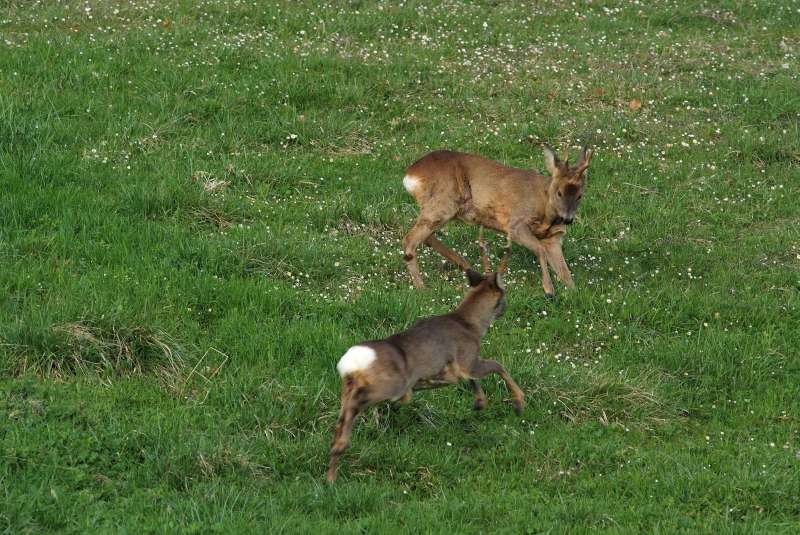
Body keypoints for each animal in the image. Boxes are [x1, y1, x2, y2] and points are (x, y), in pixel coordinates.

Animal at [326, 232, 524, 484]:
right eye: (504, 294)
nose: (505, 309)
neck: (471, 324)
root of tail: (352, 363)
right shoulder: (468, 357)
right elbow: (498, 365)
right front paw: (518, 402)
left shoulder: (461, 366)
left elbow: (471, 380)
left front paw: (480, 403)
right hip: (391, 386)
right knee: (360, 404)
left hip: (350, 388)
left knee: (341, 424)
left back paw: (331, 473)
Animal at [400, 147, 592, 298]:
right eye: (559, 192)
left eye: (580, 195)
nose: (568, 219)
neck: (544, 207)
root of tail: (410, 175)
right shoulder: (515, 224)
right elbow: (539, 250)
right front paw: (549, 290)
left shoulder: (553, 237)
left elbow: (564, 271)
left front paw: (574, 292)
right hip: (443, 204)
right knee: (410, 239)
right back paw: (422, 288)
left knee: (425, 237)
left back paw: (466, 267)